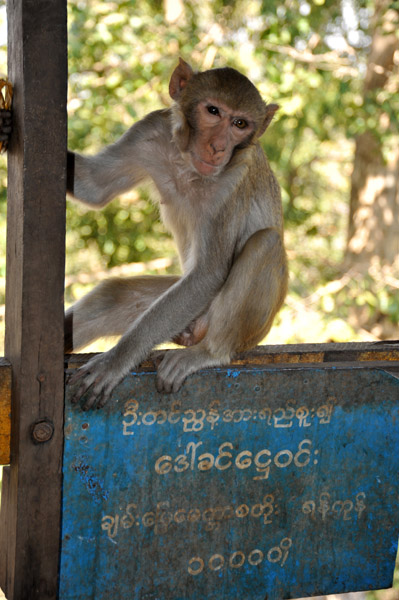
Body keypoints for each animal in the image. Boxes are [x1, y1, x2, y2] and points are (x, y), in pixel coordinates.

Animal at [67, 58, 290, 408]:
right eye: (213, 111)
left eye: (240, 123)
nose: (218, 147)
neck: (187, 162)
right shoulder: (148, 131)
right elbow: (93, 186)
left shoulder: (233, 180)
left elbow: (209, 273)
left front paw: (115, 361)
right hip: (181, 313)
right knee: (115, 295)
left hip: (232, 323)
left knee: (264, 243)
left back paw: (208, 353)